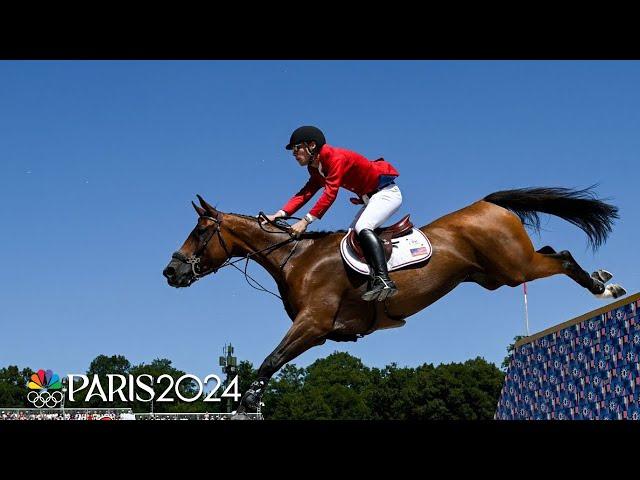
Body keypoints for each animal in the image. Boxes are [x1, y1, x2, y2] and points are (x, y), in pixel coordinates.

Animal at [161, 186, 624, 418]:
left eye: (200, 233)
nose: (171, 272)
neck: (297, 259)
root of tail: (487, 203)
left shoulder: (313, 324)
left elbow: (271, 360)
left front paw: (246, 405)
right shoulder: (319, 332)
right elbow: (272, 360)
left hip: (514, 268)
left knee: (561, 257)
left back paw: (605, 288)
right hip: (495, 276)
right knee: (550, 252)